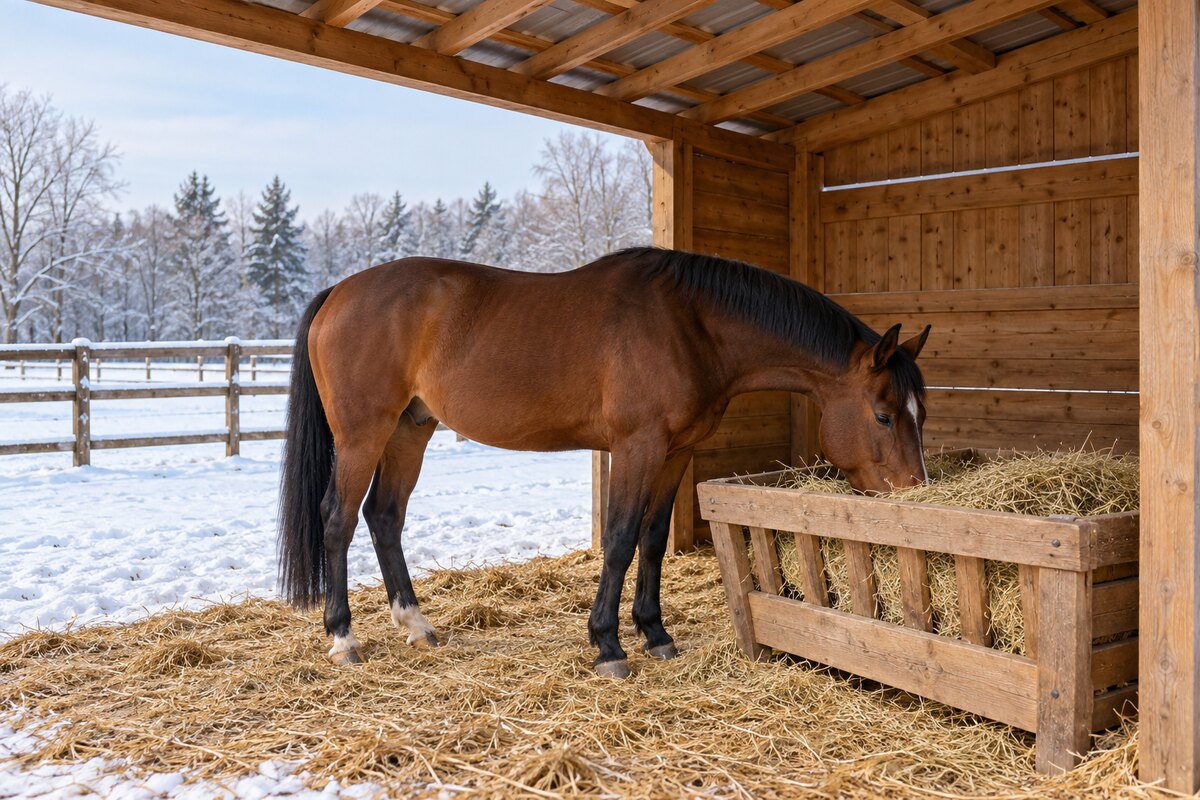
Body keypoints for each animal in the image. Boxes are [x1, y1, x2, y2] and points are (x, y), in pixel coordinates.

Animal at [278, 246, 931, 678]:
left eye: (919, 412)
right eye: (882, 415)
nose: (914, 493)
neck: (689, 324)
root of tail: (339, 292)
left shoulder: (676, 452)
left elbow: (652, 539)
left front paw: (655, 633)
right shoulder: (636, 447)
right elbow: (618, 540)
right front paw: (608, 646)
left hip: (410, 429)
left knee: (385, 517)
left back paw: (416, 625)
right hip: (363, 434)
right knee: (338, 520)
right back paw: (344, 639)